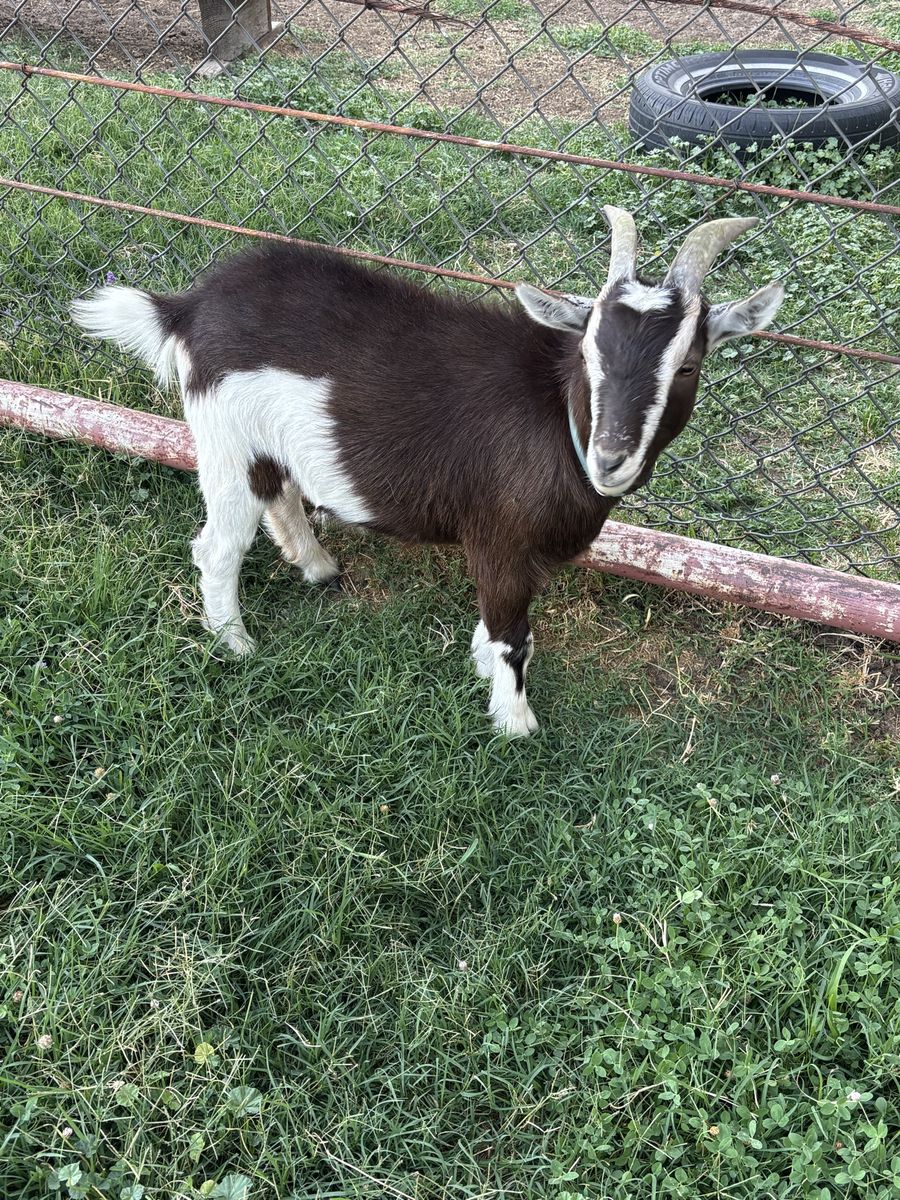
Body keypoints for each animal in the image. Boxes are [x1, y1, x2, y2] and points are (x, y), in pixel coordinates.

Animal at [71, 208, 783, 735]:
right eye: (587, 352)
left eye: (687, 365)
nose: (610, 458)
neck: (559, 418)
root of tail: (189, 307)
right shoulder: (501, 539)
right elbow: (514, 634)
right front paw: (514, 722)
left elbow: (499, 626)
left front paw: (480, 666)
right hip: (224, 441)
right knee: (218, 546)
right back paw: (236, 643)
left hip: (262, 447)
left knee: (280, 499)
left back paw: (317, 568)